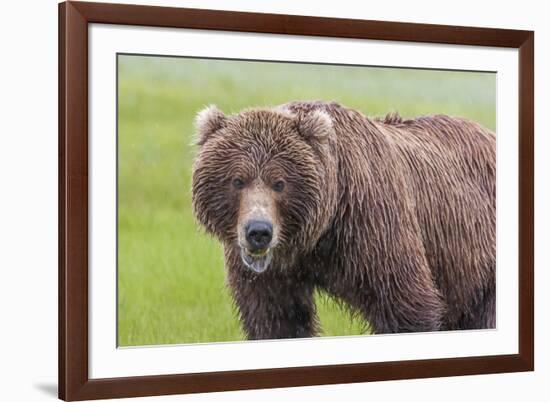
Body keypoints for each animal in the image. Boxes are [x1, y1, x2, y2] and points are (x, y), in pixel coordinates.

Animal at [192, 101, 498, 340]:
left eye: (279, 183)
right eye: (237, 180)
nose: (258, 232)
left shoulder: (372, 223)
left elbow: (405, 303)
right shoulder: (272, 273)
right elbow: (276, 318)